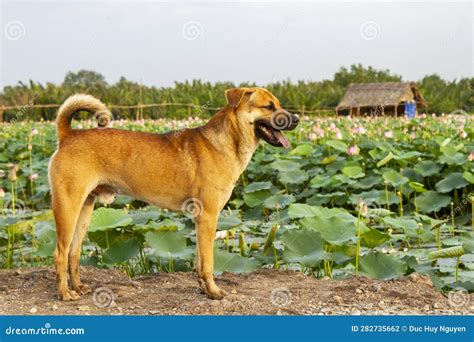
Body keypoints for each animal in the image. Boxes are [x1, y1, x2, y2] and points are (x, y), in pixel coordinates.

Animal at [49, 87, 300, 300]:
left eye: (278, 104)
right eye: (268, 106)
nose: (296, 119)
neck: (228, 140)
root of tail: (68, 135)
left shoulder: (202, 220)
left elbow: (199, 259)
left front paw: (203, 288)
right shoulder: (208, 216)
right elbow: (208, 261)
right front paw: (213, 291)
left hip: (85, 209)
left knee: (74, 252)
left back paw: (78, 287)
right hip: (67, 207)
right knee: (60, 253)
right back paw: (65, 294)